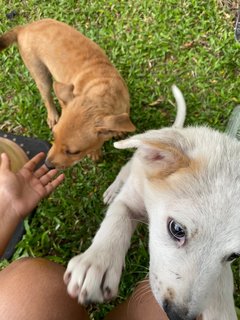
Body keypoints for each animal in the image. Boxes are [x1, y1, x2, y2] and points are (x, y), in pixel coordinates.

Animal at [0, 18, 135, 169]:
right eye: (54, 136)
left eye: (73, 152)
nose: (47, 164)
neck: (100, 91)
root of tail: (24, 28)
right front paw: (95, 152)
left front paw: (118, 131)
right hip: (41, 75)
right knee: (47, 97)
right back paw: (52, 115)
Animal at [63, 85, 238, 320]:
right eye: (177, 229)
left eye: (234, 256)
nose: (178, 316)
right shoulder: (130, 199)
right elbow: (116, 220)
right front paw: (96, 263)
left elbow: (222, 279)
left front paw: (221, 309)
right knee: (124, 170)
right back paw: (112, 190)